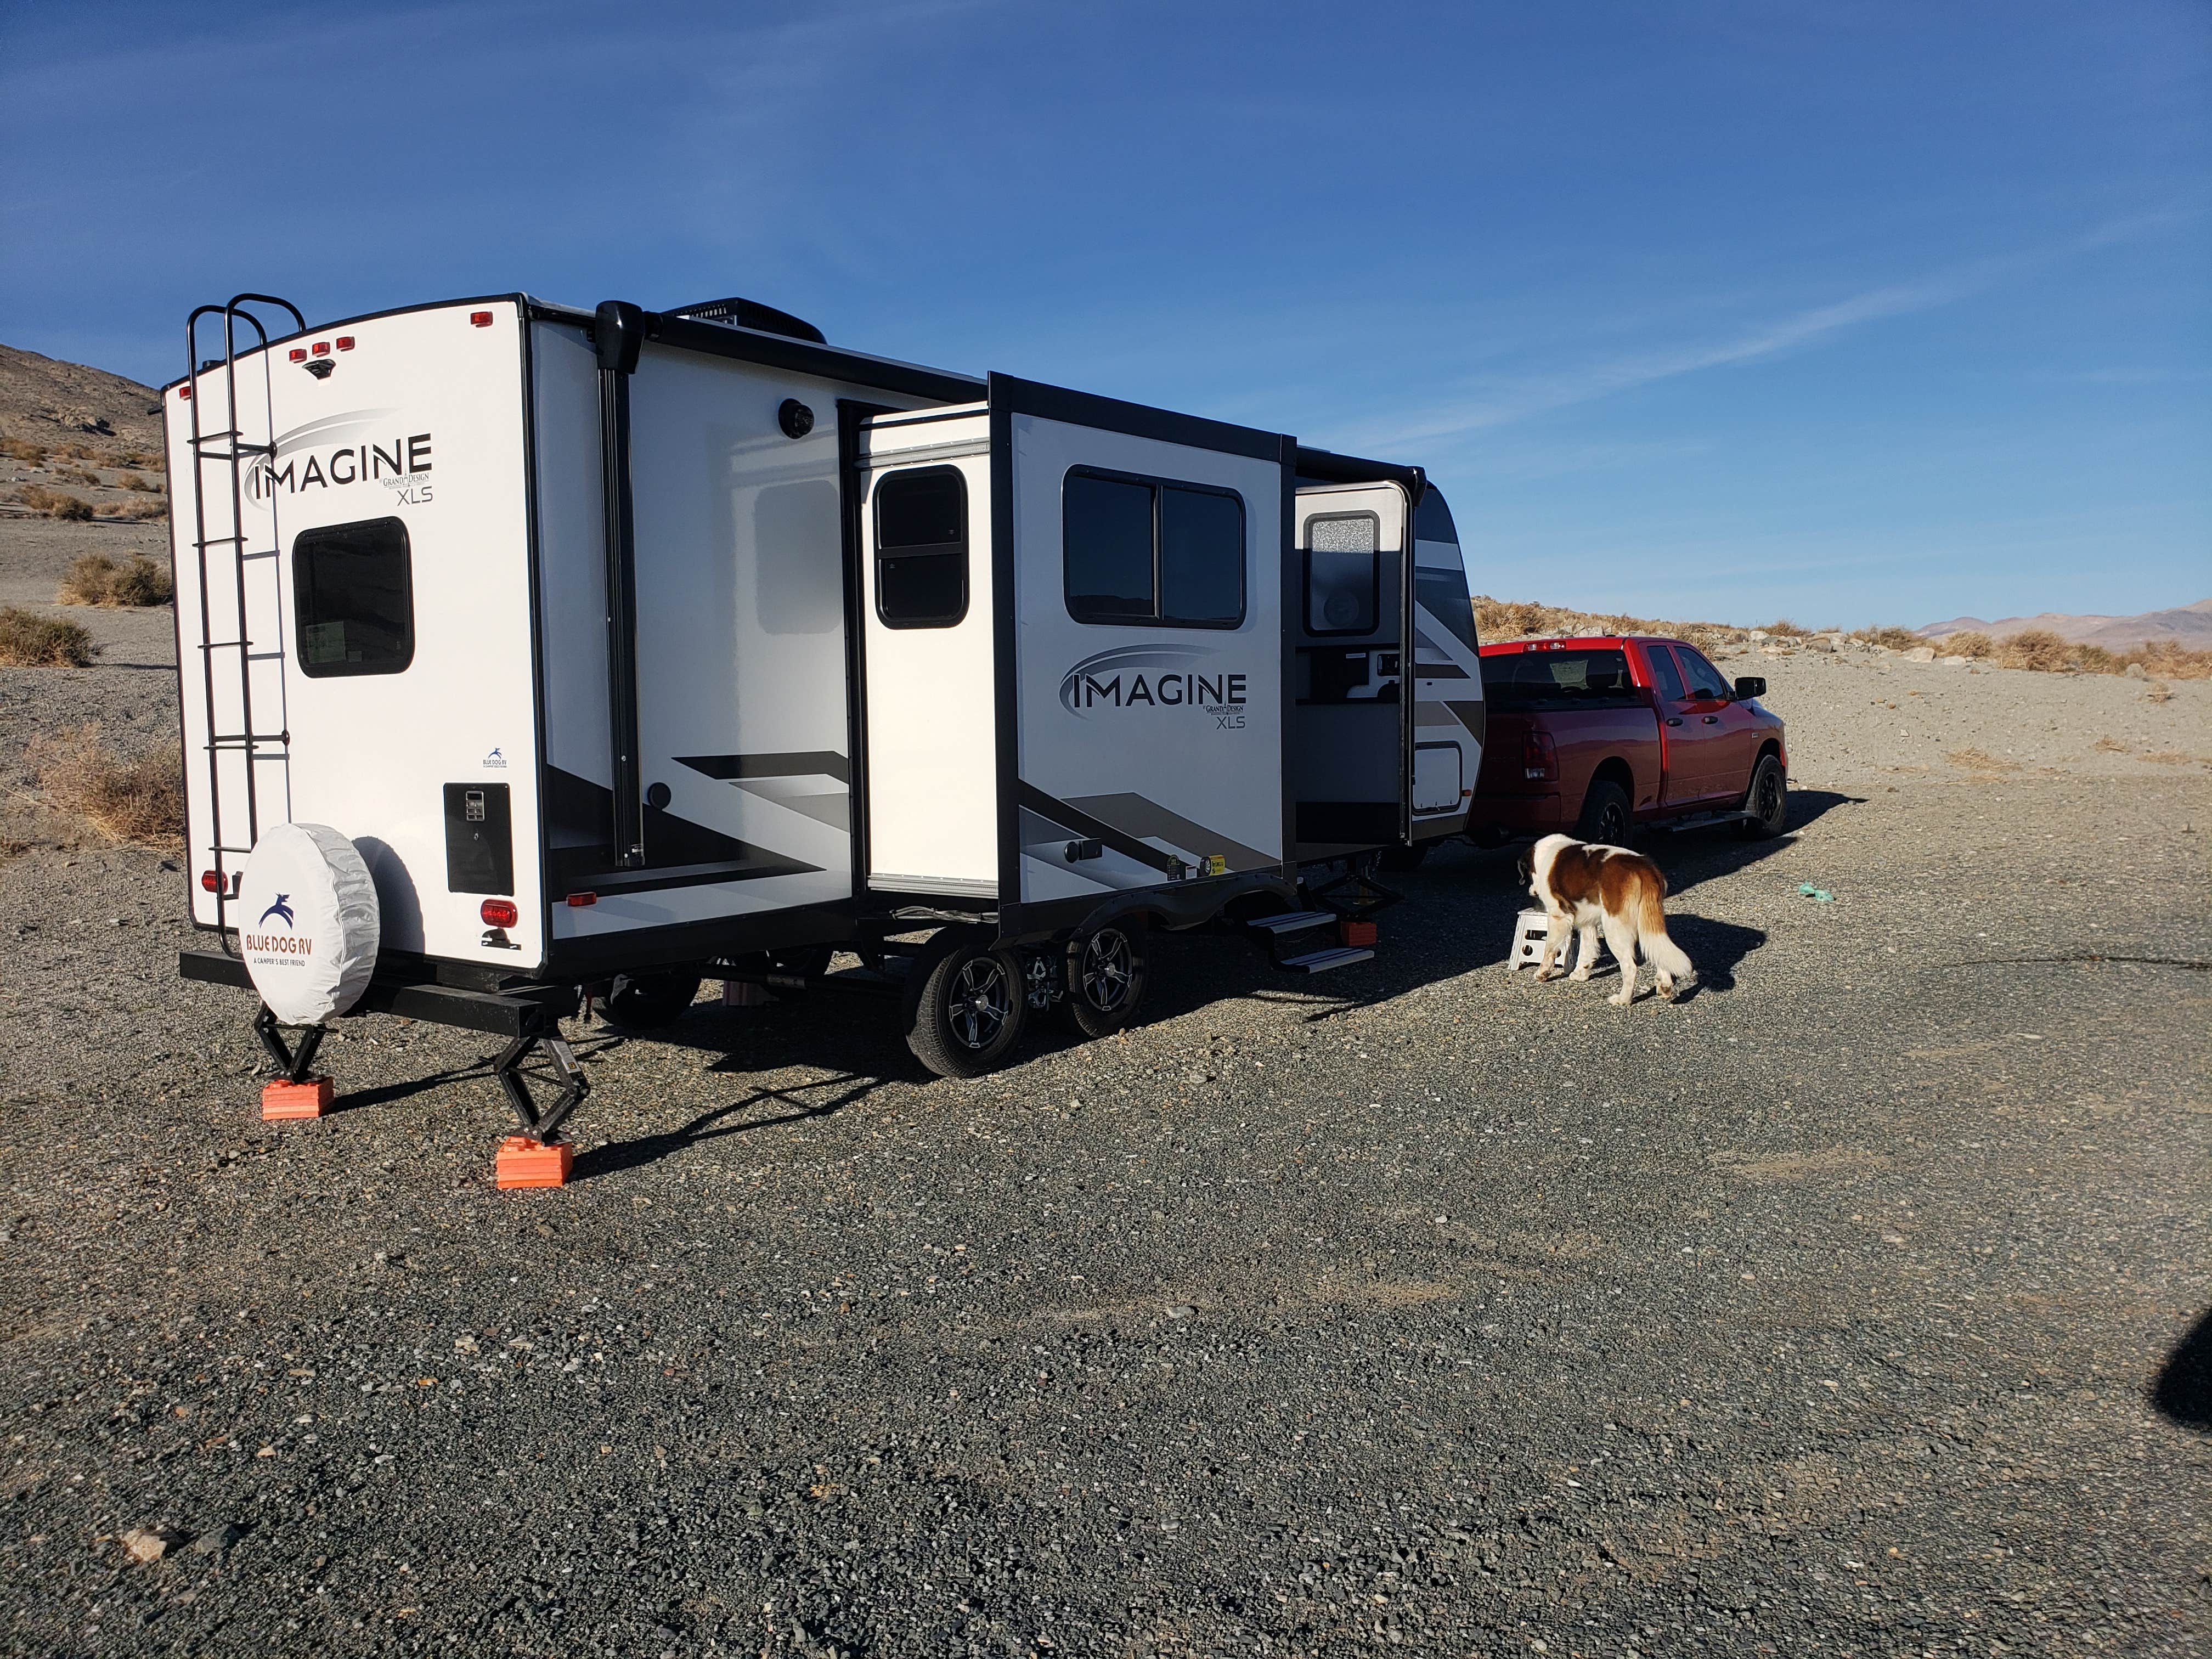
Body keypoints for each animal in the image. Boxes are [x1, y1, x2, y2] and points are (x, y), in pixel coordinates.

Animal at [1522, 836, 1690, 1008]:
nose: (1530, 890)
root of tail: (1644, 867)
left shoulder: (1558, 916)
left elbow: (1550, 949)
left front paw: (1542, 973)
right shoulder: (1587, 921)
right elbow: (1587, 948)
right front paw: (1581, 974)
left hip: (1614, 928)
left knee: (1630, 967)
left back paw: (1623, 999)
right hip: (1646, 921)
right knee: (1658, 951)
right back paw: (1665, 987)